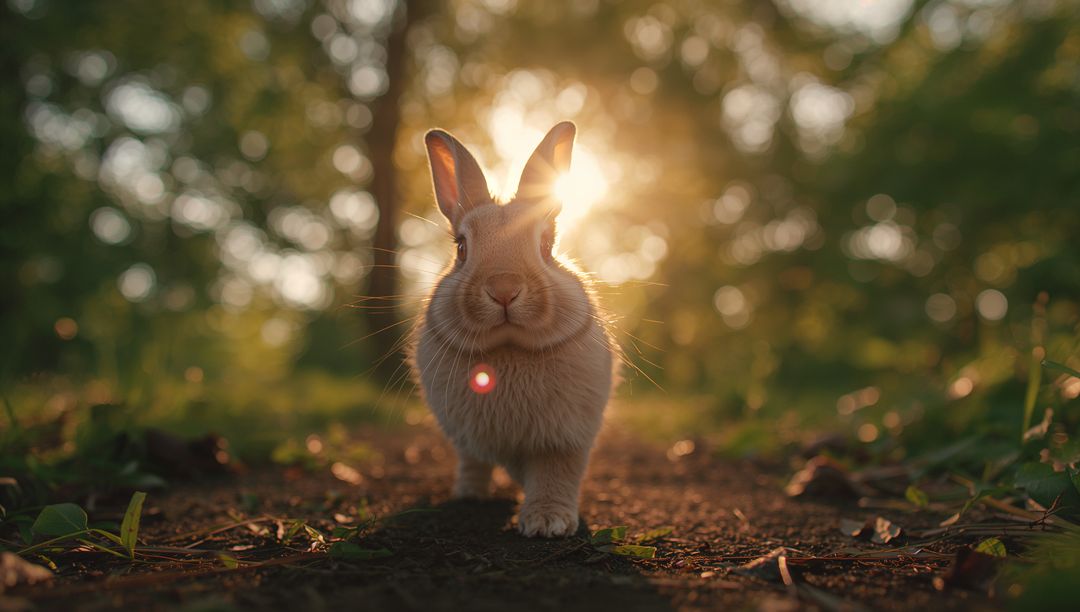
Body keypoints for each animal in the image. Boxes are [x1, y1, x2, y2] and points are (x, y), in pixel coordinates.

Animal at [406, 121, 618, 538]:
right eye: (461, 248)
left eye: (547, 245)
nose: (504, 289)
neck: (508, 348)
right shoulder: (466, 436)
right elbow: (475, 460)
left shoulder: (563, 441)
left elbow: (555, 475)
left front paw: (547, 523)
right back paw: (469, 495)